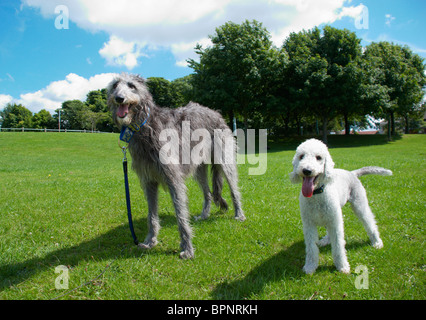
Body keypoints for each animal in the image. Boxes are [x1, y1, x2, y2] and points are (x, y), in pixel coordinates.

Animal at [108, 73, 245, 260]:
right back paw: (204, 215)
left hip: (224, 158)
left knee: (233, 188)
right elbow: (151, 214)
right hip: (198, 168)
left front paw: (187, 248)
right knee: (208, 193)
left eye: (131, 86)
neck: (145, 125)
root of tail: (215, 113)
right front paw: (150, 241)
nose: (119, 98)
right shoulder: (149, 180)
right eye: (115, 85)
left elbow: (180, 214)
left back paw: (239, 214)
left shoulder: (173, 178)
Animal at [290, 139, 392, 274]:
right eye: (301, 156)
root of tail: (352, 173)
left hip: (359, 204)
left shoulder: (335, 221)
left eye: (319, 157)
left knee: (369, 222)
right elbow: (311, 247)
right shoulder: (309, 224)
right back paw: (325, 241)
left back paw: (377, 242)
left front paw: (342, 266)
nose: (306, 170)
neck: (317, 193)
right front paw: (310, 267)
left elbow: (338, 246)